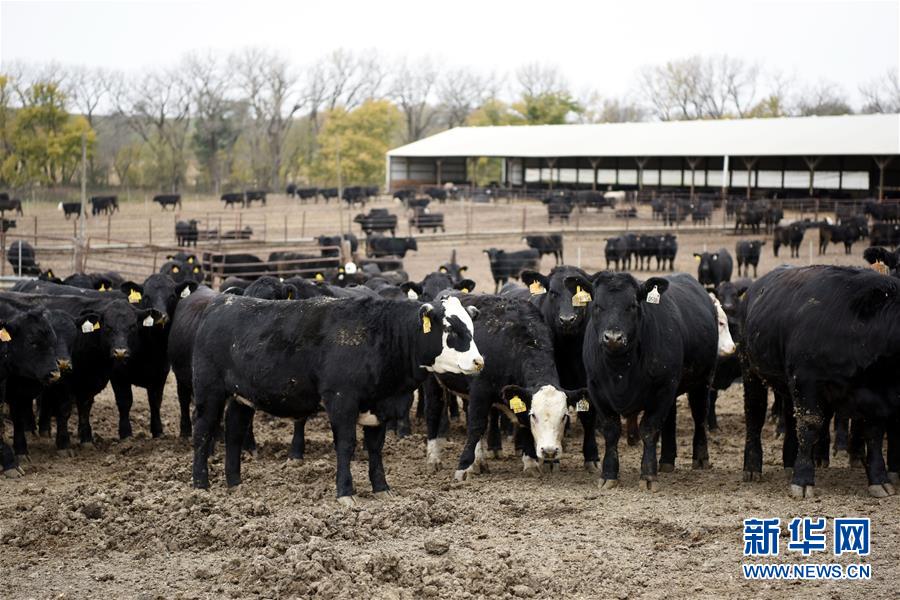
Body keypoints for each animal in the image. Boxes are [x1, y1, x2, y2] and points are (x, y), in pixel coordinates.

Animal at [192, 294, 486, 502]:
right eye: (450, 328)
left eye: (472, 328)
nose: (479, 361)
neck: (381, 335)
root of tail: (220, 303)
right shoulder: (341, 400)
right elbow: (346, 445)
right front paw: (346, 493)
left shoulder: (379, 406)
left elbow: (375, 448)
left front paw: (382, 488)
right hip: (209, 391)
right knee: (203, 433)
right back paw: (200, 486)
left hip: (241, 398)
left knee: (234, 434)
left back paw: (235, 484)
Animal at [580, 274, 720, 490]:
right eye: (597, 305)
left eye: (632, 305)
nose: (613, 337)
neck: (620, 371)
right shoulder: (596, 390)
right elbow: (611, 431)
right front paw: (608, 474)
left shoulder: (663, 388)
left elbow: (649, 429)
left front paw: (648, 475)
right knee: (670, 420)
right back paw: (667, 461)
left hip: (703, 380)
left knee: (699, 416)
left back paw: (700, 457)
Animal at [740, 266, 900, 496]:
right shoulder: (806, 382)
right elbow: (810, 426)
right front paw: (803, 480)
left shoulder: (877, 397)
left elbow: (874, 433)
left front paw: (879, 479)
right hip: (751, 371)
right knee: (754, 415)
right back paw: (752, 468)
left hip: (787, 387)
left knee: (790, 420)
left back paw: (790, 463)